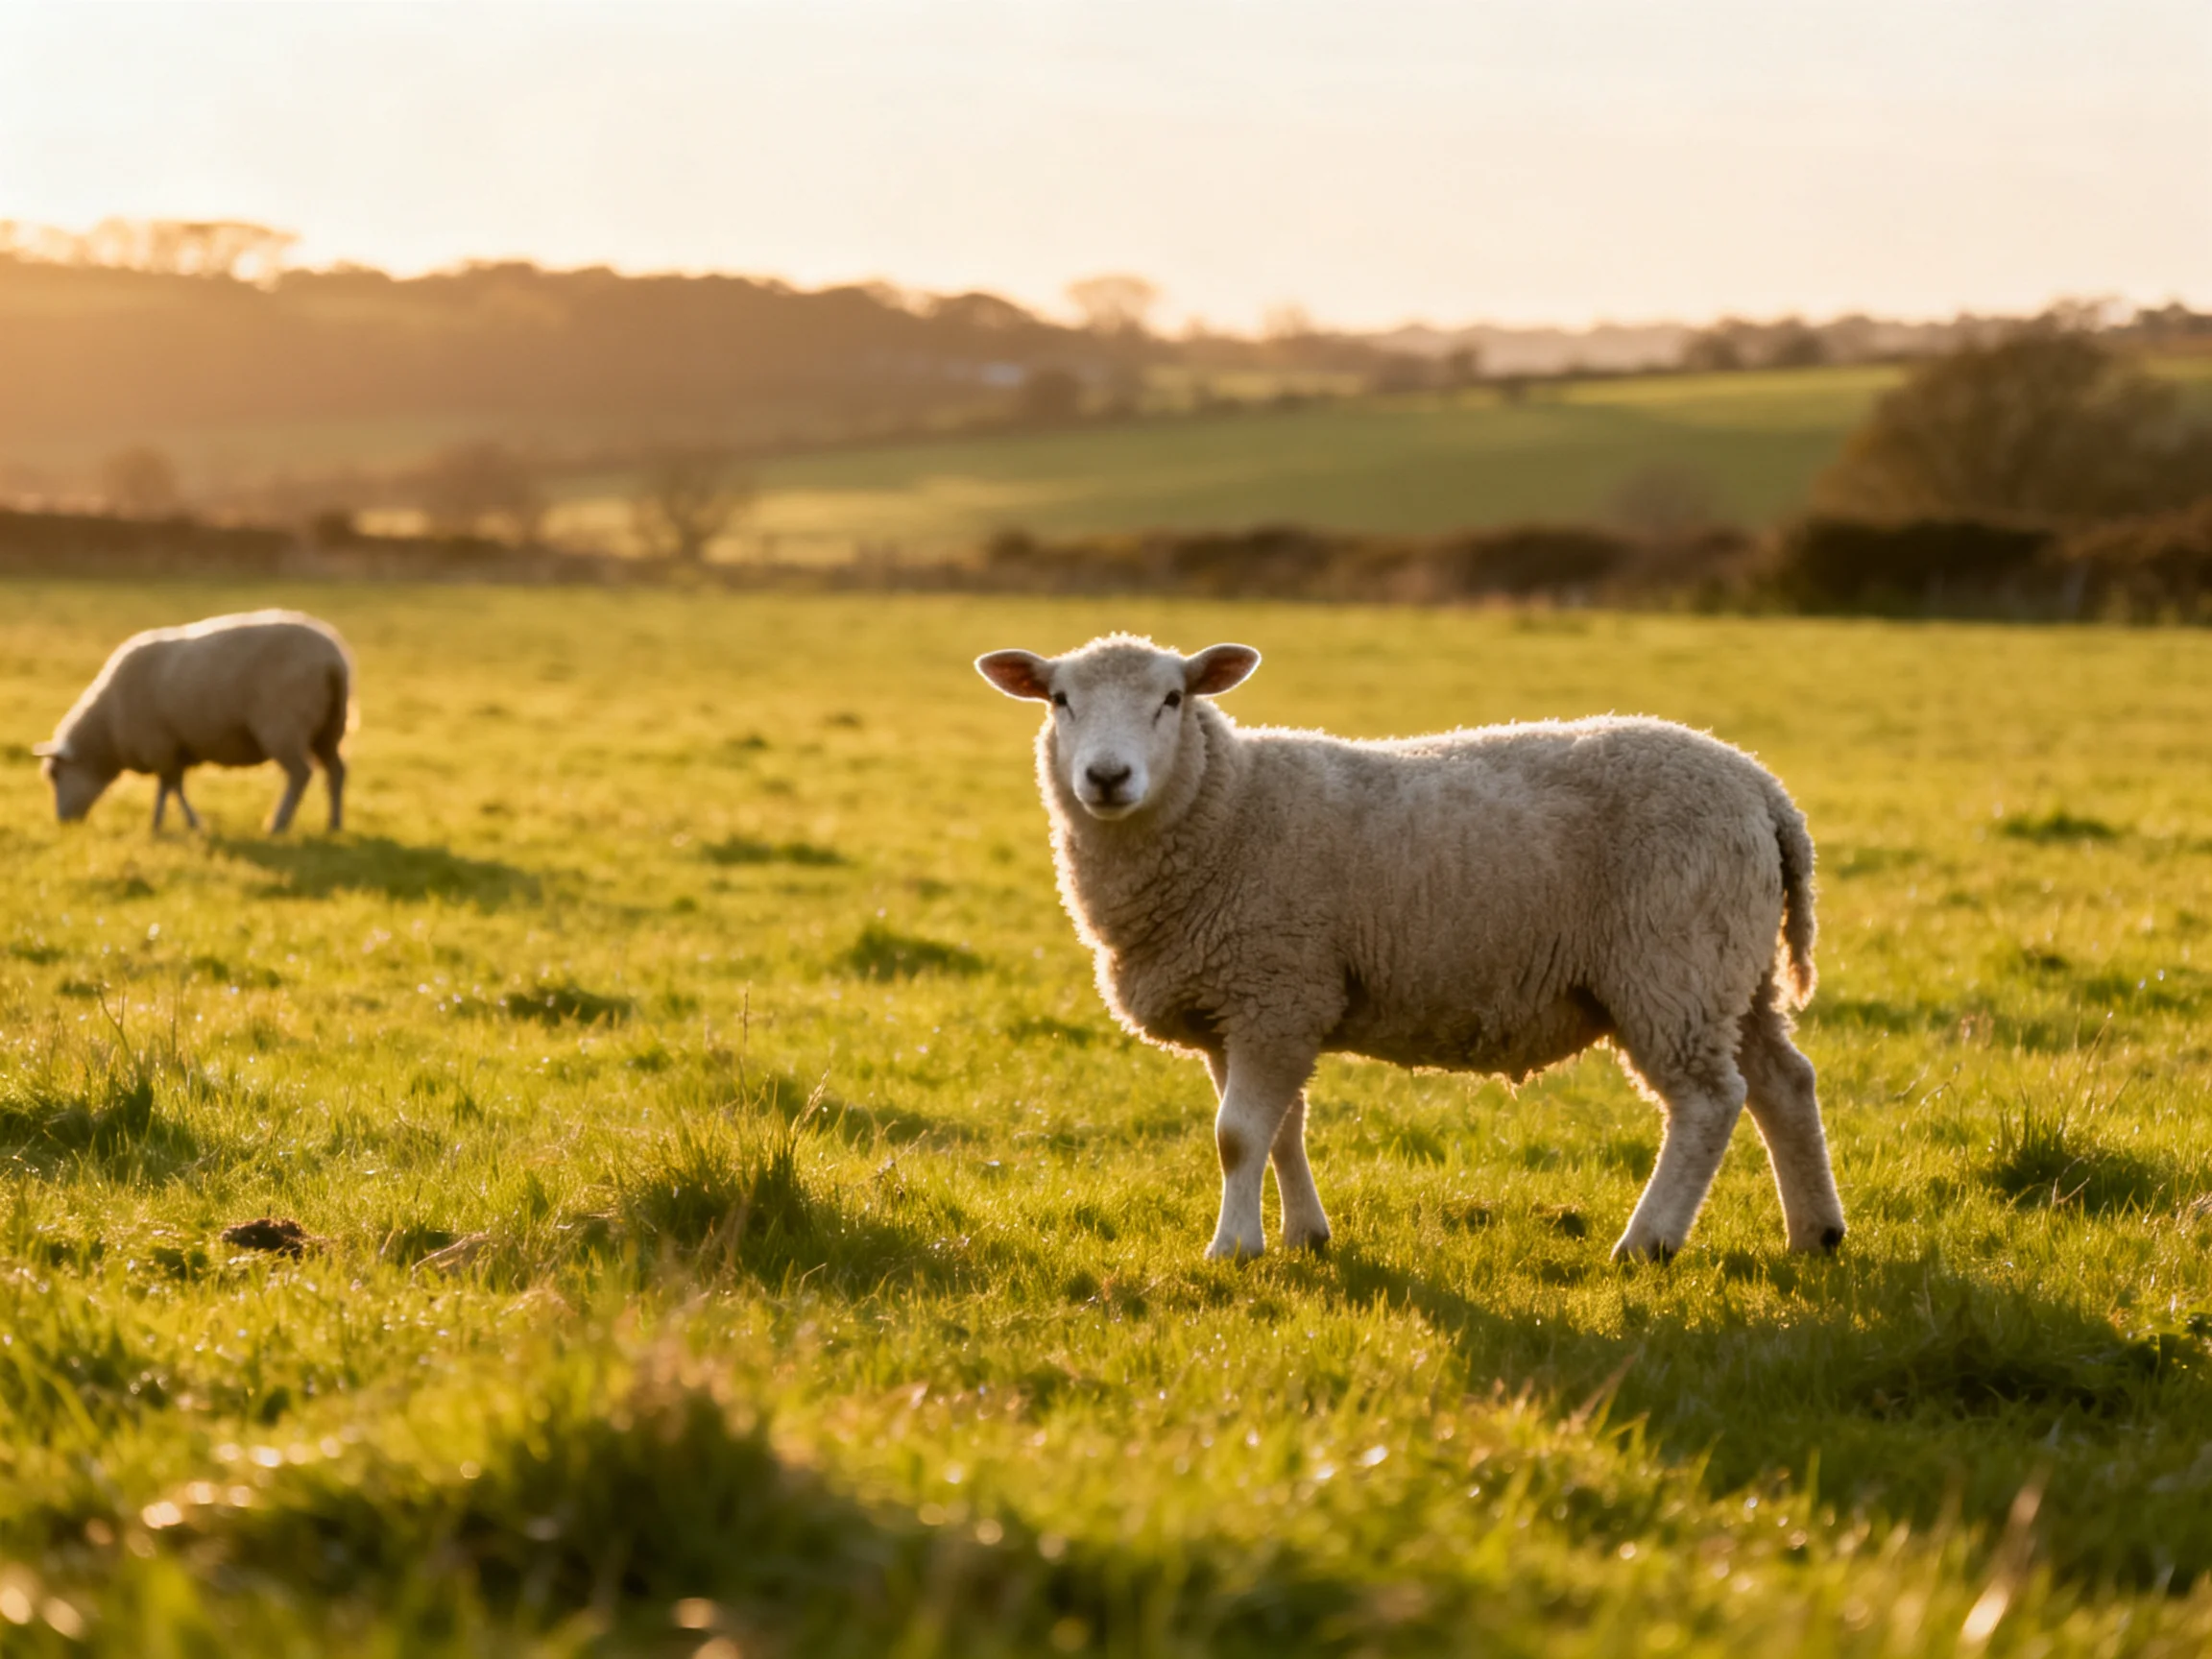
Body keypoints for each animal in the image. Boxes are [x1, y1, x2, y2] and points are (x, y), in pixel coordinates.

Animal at [34, 610, 354, 833]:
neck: (108, 729)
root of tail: (332, 660)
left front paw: (176, 823)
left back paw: (279, 823)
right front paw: (168, 823)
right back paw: (334, 823)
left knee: (301, 774)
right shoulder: (174, 748)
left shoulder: (160, 746)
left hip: (284, 725)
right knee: (336, 771)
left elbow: (171, 787)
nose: (63, 822)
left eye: (55, 774)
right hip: (329, 727)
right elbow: (171, 787)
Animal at [975, 633, 1845, 1265]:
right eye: (1060, 700)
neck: (1228, 807)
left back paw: (1648, 1243)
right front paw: (1303, 1238)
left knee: (1708, 1100)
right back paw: (1815, 1234)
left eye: (1172, 699)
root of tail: (1763, 790)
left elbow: (1236, 1136)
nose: (1107, 776)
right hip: (1736, 968)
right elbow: (1278, 1130)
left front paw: (1232, 1249)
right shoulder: (1244, 1007)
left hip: (1672, 962)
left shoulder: (1275, 991)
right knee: (1785, 1083)